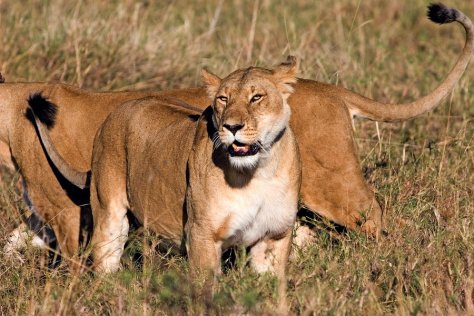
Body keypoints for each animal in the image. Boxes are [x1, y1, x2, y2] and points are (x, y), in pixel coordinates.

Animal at [1, 3, 472, 260]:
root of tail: (330, 88)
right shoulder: (42, 216)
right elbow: (12, 241)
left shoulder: (65, 211)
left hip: (338, 189)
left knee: (383, 222)